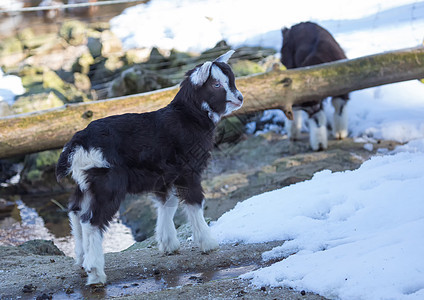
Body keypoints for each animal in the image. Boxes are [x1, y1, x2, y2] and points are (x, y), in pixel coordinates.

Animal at [54, 50, 243, 284]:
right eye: (216, 84)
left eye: (231, 79)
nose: (240, 98)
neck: (188, 117)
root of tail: (78, 144)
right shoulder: (188, 171)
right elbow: (194, 202)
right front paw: (208, 243)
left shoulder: (165, 175)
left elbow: (168, 203)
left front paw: (168, 244)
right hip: (108, 182)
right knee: (91, 221)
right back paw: (96, 271)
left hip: (86, 182)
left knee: (75, 211)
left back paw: (81, 258)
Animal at [282, 21, 348, 150]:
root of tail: (290, 28)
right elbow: (319, 119)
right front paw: (320, 145)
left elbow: (339, 106)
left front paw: (340, 134)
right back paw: (293, 134)